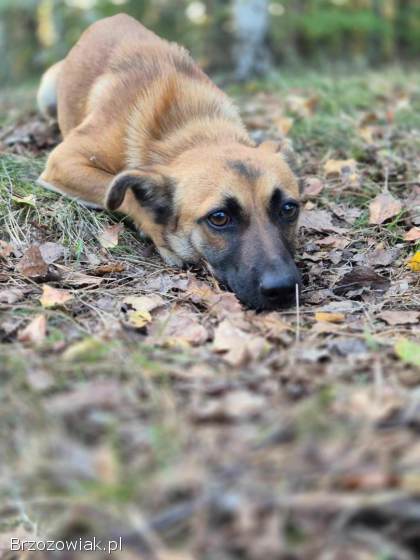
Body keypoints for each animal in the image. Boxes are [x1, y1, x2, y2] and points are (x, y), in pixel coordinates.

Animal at [36, 13, 300, 308]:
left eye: (289, 209)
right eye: (219, 218)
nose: (283, 289)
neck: (193, 129)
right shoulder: (64, 160)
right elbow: (128, 195)